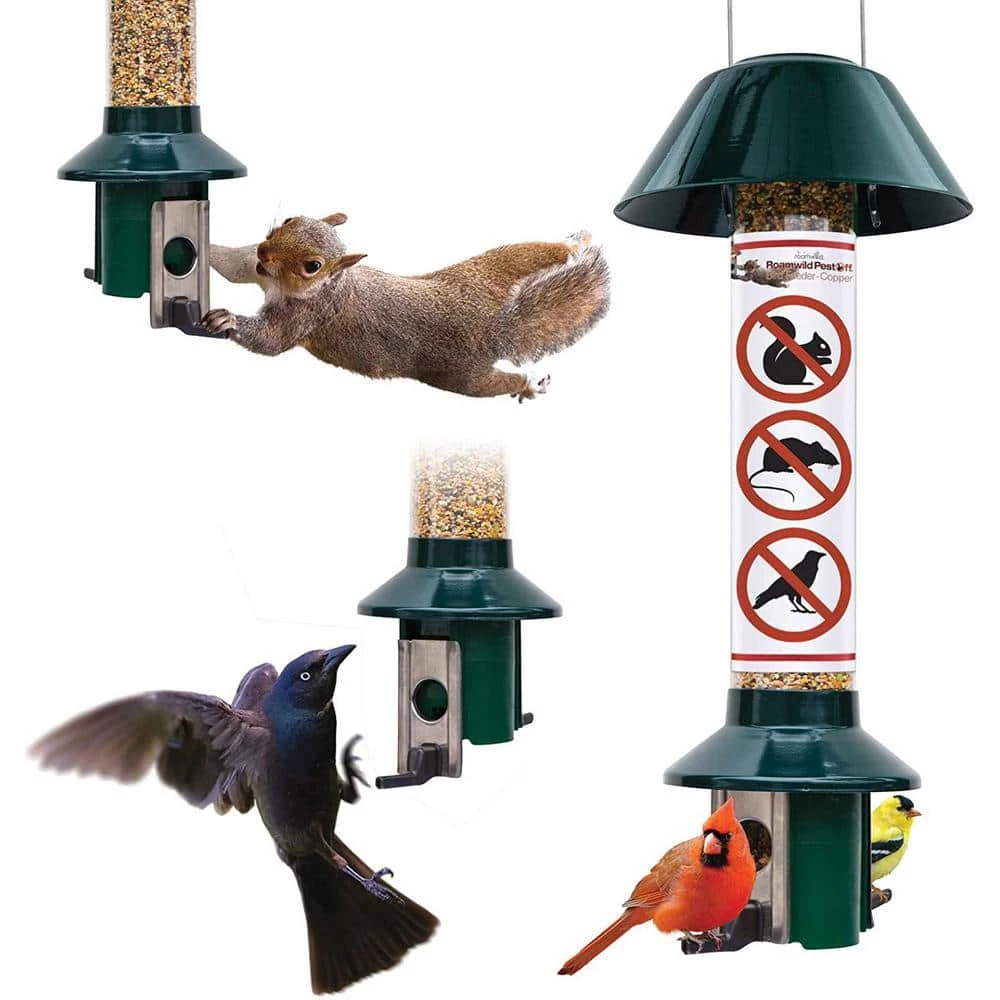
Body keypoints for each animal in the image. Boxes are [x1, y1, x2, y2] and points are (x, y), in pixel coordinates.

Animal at [204, 214, 610, 400]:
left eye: (312, 266)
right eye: (290, 219)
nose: (264, 250)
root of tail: (494, 322)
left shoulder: (309, 314)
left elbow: (271, 340)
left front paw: (227, 319)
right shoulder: (256, 270)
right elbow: (234, 263)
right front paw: (204, 246)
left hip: (459, 373)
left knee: (490, 383)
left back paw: (527, 383)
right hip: (486, 270)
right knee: (528, 253)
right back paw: (574, 244)